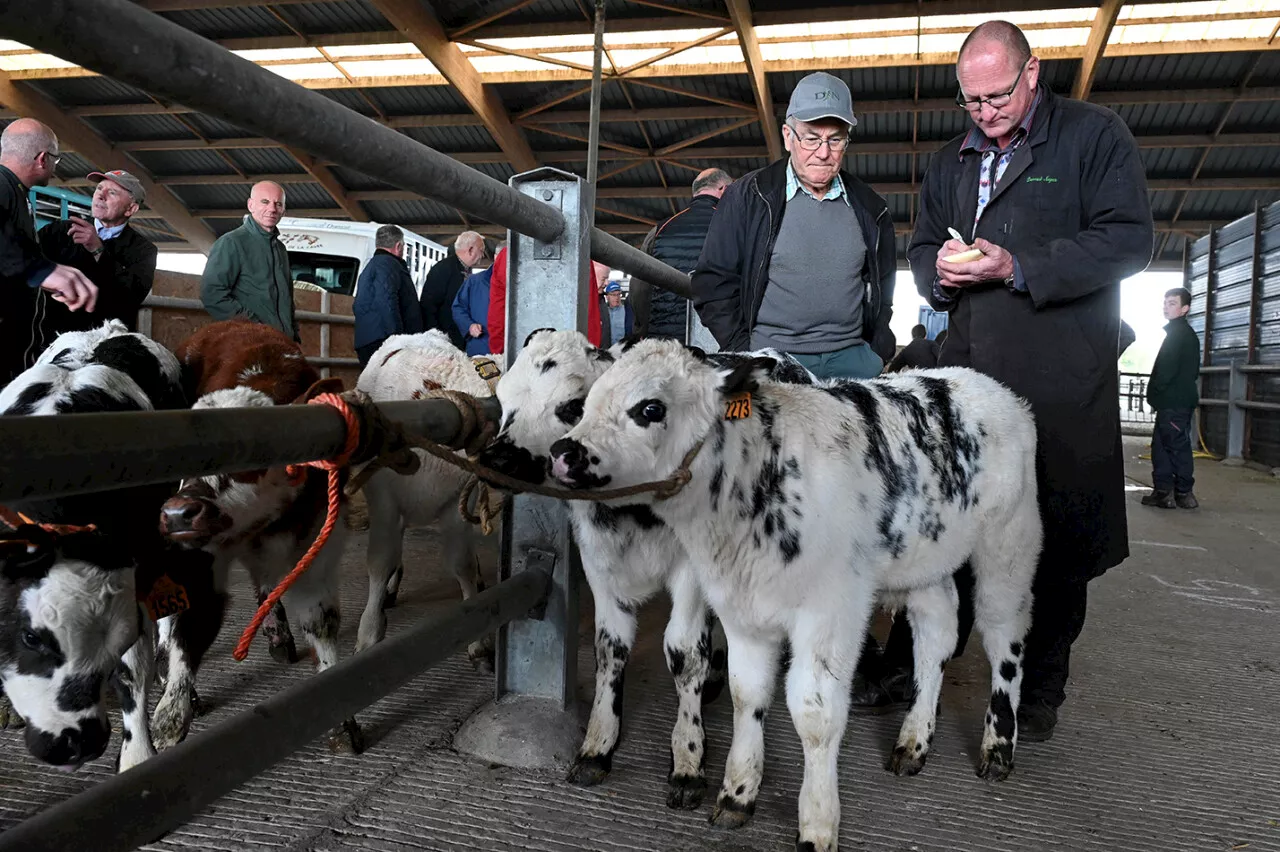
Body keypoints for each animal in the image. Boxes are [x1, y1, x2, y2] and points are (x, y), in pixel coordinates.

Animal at [160, 319, 363, 752]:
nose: (177, 513)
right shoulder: (197, 558)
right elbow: (188, 627)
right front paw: (171, 716)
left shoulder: (315, 547)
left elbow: (320, 622)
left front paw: (342, 717)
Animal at [355, 327, 504, 665]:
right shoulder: (384, 500)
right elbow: (379, 561)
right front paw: (368, 632)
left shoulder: (457, 501)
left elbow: (462, 563)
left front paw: (479, 640)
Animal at [476, 327, 814, 808]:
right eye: (502, 398)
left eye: (573, 405)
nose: (498, 460)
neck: (631, 513)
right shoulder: (598, 561)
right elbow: (610, 647)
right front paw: (598, 745)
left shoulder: (691, 570)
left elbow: (684, 651)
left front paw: (688, 759)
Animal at [547, 337, 1039, 849]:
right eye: (588, 399)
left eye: (650, 408)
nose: (564, 451)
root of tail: (981, 383)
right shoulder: (739, 607)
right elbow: (747, 694)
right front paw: (737, 793)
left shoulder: (831, 611)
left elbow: (814, 712)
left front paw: (818, 822)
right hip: (925, 561)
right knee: (936, 634)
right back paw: (914, 740)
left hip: (1011, 542)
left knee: (1005, 635)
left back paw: (998, 746)